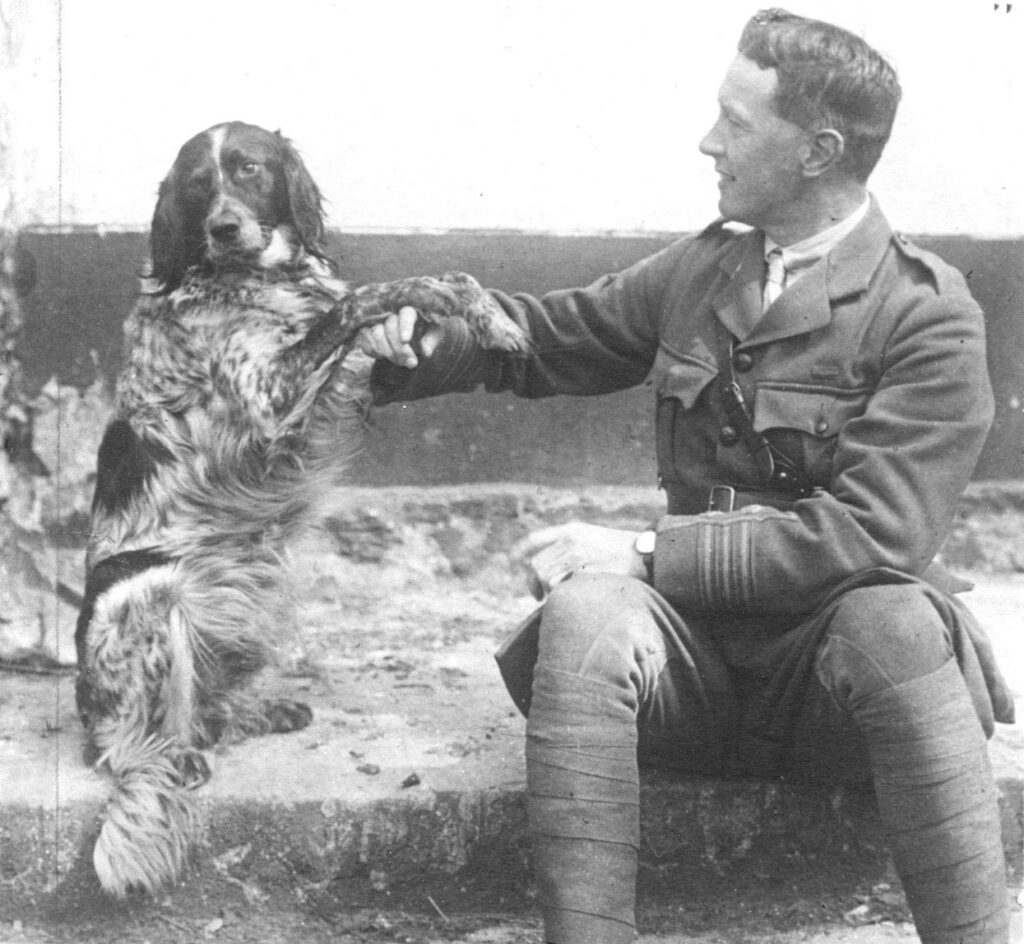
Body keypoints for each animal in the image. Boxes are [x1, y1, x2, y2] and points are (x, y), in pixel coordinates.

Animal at [74, 121, 528, 892]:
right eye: (197, 184)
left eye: (250, 170)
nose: (225, 227)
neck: (256, 278)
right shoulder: (268, 398)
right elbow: (368, 295)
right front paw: (460, 305)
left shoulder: (340, 384)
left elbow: (416, 291)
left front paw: (488, 315)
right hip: (149, 590)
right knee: (128, 747)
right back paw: (169, 760)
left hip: (259, 589)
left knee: (208, 708)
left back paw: (254, 711)